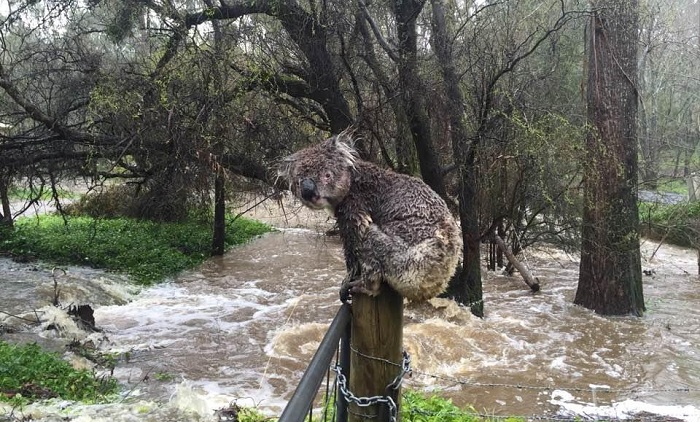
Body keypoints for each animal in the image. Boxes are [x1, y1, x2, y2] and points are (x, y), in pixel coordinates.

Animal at [278, 133, 462, 302]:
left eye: (327, 175)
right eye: (298, 182)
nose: (308, 192)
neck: (351, 181)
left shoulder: (355, 204)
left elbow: (355, 239)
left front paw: (346, 281)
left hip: (404, 260)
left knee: (370, 244)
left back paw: (364, 285)